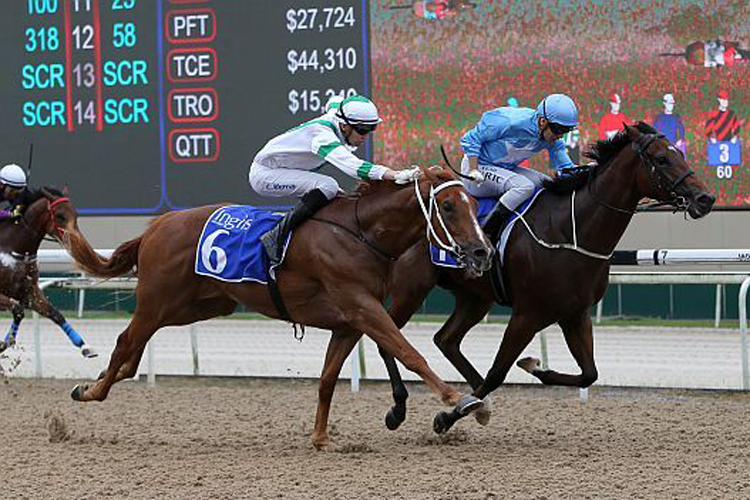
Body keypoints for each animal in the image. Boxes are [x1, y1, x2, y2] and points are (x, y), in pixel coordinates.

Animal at [0, 188, 97, 360]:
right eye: (60, 216)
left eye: (76, 214)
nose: (75, 241)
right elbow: (18, 310)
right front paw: (4, 343)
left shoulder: (30, 291)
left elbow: (55, 314)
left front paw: (85, 346)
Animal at [63, 165, 494, 450]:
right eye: (449, 207)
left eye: (474, 204)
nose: (481, 251)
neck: (361, 232)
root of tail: (157, 226)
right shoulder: (361, 305)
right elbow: (409, 352)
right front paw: (462, 400)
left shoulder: (349, 321)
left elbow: (327, 379)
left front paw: (320, 437)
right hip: (158, 301)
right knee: (125, 342)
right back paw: (91, 391)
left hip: (198, 306)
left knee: (133, 353)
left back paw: (94, 383)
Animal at [382, 123, 716, 432]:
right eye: (661, 159)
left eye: (681, 154)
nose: (705, 198)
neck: (570, 231)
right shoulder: (527, 314)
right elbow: (498, 372)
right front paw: (448, 416)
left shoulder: (575, 313)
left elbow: (589, 373)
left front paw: (531, 367)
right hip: (411, 290)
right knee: (388, 338)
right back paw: (399, 409)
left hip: (474, 298)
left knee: (445, 340)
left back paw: (479, 403)